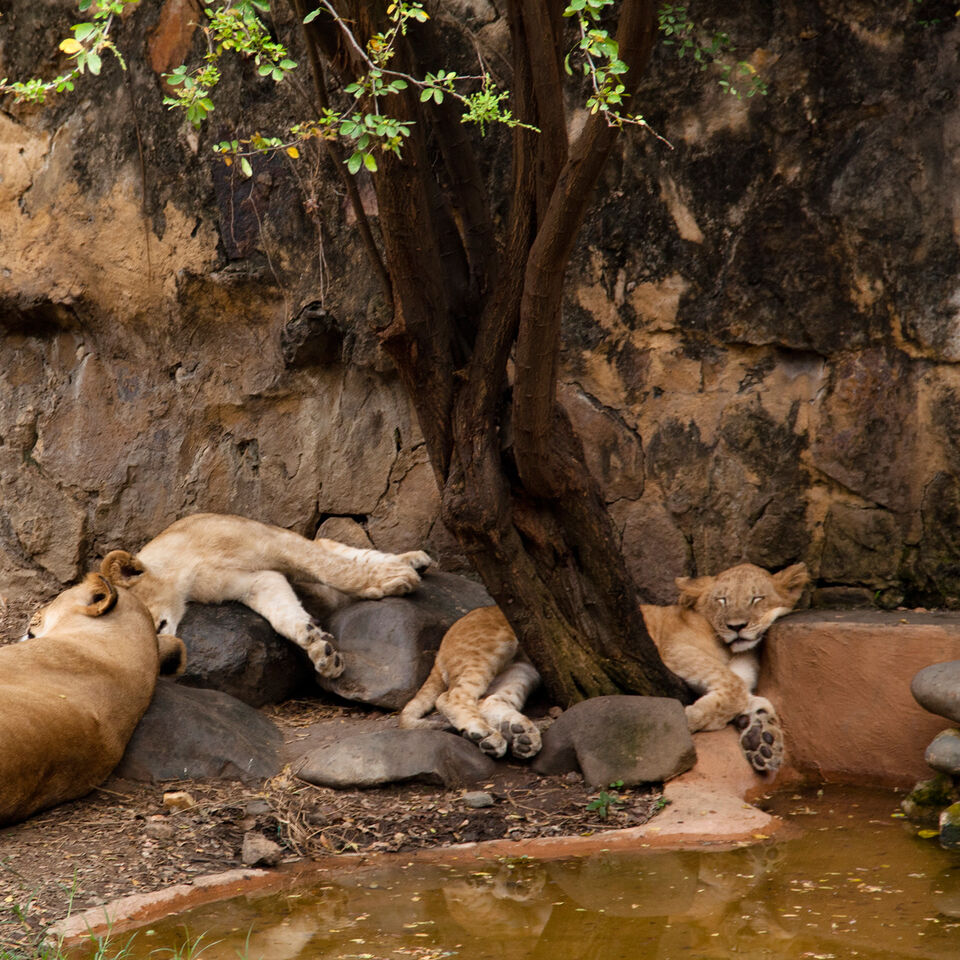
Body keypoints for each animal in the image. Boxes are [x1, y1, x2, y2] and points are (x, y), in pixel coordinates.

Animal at [100, 512, 432, 680]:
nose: (154, 658)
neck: (187, 572)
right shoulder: (255, 581)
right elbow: (284, 614)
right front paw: (319, 648)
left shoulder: (275, 541)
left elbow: (335, 569)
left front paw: (392, 580)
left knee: (337, 550)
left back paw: (410, 563)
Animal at [640, 564, 808, 772]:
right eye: (722, 600)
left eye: (756, 598)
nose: (736, 627)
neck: (737, 652)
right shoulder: (674, 647)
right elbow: (734, 686)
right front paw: (689, 718)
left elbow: (752, 697)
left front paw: (762, 737)